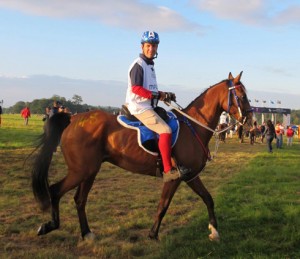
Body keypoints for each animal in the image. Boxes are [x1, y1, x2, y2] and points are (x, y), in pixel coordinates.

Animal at [30, 70, 252, 242]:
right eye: (241, 96)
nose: (249, 119)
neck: (193, 127)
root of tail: (73, 118)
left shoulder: (191, 176)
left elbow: (208, 198)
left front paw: (214, 231)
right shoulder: (175, 178)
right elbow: (163, 205)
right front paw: (153, 234)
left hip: (89, 171)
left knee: (79, 199)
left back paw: (86, 233)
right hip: (81, 171)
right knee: (55, 190)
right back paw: (50, 225)